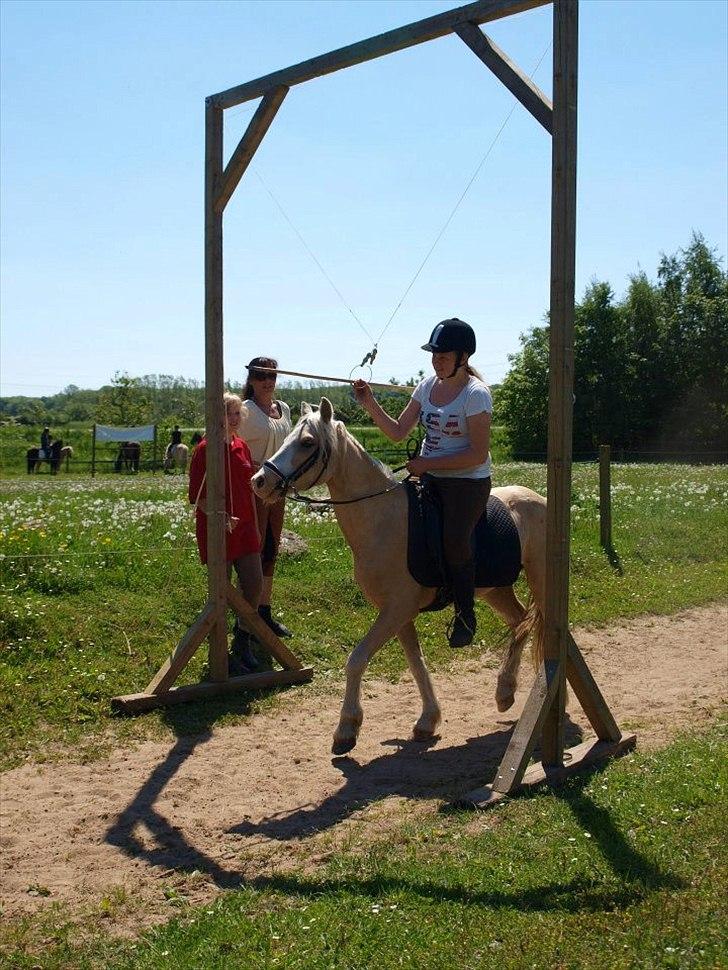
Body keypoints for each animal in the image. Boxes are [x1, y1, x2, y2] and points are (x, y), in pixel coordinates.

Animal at [250, 400, 544, 756]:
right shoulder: (399, 614)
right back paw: (506, 692)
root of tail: (536, 498)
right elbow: (416, 663)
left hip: (540, 580)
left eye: (307, 442)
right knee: (521, 623)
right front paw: (427, 720)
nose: (259, 481)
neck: (382, 521)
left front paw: (346, 728)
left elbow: (357, 659)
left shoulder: (396, 610)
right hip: (496, 590)